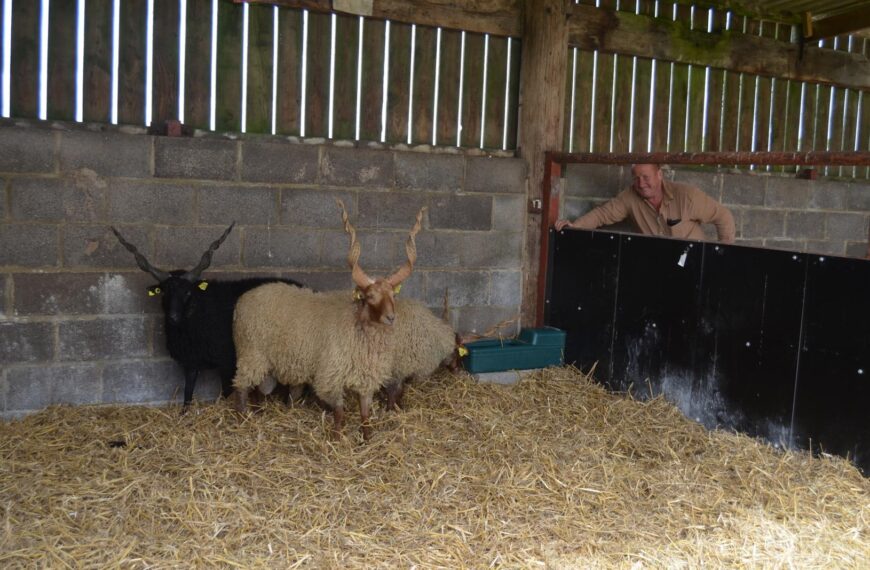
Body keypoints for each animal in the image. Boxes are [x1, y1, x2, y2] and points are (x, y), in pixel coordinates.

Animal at [110, 224, 303, 411]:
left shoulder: (227, 361)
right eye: (164, 292)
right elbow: (188, 392)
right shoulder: (191, 360)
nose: (173, 317)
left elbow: (226, 392)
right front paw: (184, 414)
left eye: (188, 292)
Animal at [232, 201, 425, 440]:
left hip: (264, 359)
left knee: (257, 387)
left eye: (393, 295)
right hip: (250, 353)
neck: (356, 326)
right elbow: (340, 411)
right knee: (241, 387)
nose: (391, 317)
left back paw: (257, 412)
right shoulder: (330, 376)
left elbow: (365, 411)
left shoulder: (365, 377)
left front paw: (366, 437)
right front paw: (337, 437)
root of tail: (244, 299)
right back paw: (242, 420)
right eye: (369, 296)